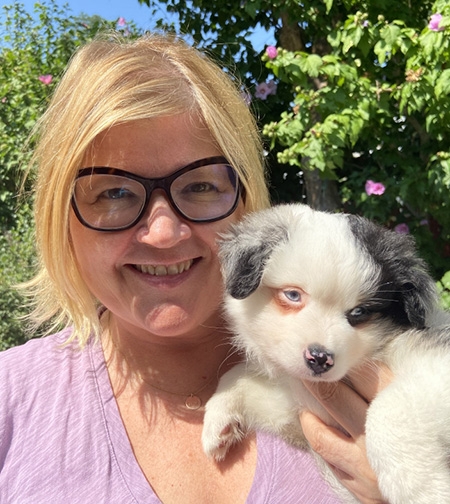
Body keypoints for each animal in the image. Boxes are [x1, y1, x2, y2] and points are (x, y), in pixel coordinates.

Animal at [202, 204, 450, 504]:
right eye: (293, 295)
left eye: (359, 312)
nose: (319, 358)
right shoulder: (295, 404)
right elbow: (237, 376)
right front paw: (218, 420)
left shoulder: (435, 361)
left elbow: (387, 410)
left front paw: (422, 490)